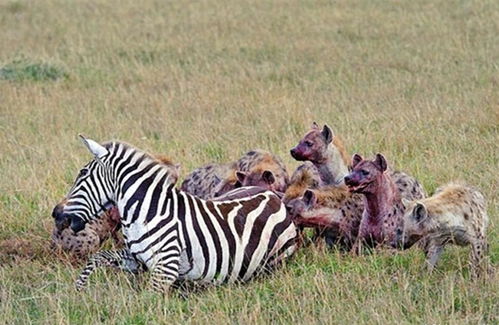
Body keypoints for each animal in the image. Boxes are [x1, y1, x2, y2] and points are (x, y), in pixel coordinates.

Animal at [52, 135, 298, 292]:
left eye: (82, 174)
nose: (59, 217)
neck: (147, 212)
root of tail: (272, 195)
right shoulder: (136, 259)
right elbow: (98, 256)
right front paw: (79, 290)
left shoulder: (166, 268)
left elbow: (146, 299)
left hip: (275, 259)